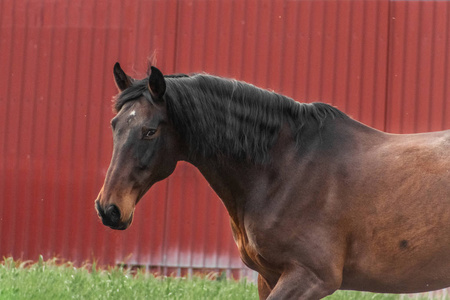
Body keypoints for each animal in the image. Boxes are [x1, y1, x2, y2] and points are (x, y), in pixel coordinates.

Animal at [96, 62, 450, 298]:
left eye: (150, 131)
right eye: (114, 124)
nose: (108, 209)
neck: (287, 169)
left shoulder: (310, 277)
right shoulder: (269, 276)